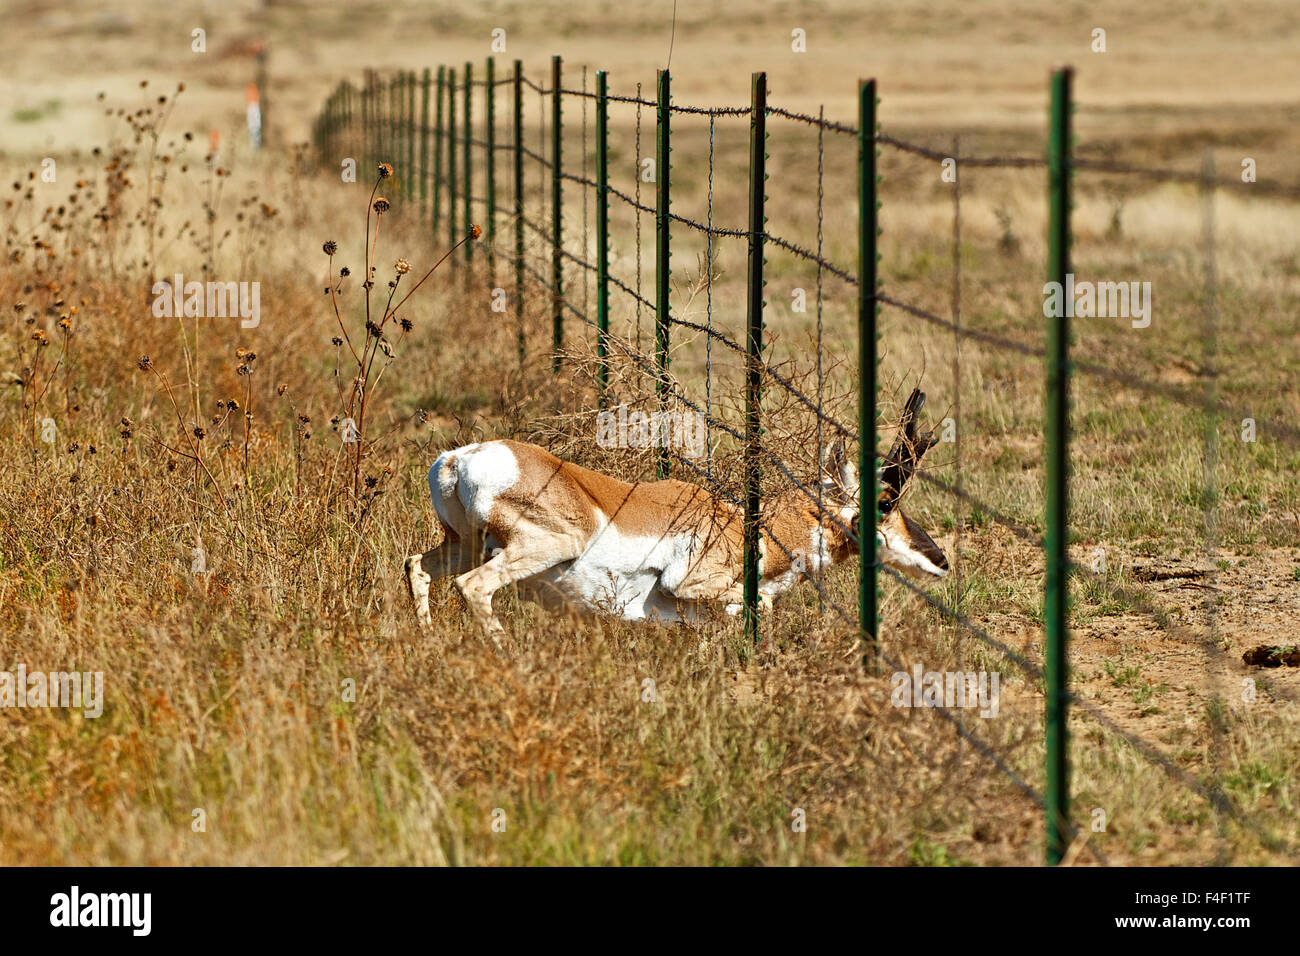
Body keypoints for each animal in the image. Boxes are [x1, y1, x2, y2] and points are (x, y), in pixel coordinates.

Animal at [405, 385, 946, 639]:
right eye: (886, 502)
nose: (941, 560)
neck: (751, 528)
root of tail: (461, 457)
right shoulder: (683, 584)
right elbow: (762, 603)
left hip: (461, 544)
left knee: (418, 568)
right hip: (544, 546)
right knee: (473, 586)